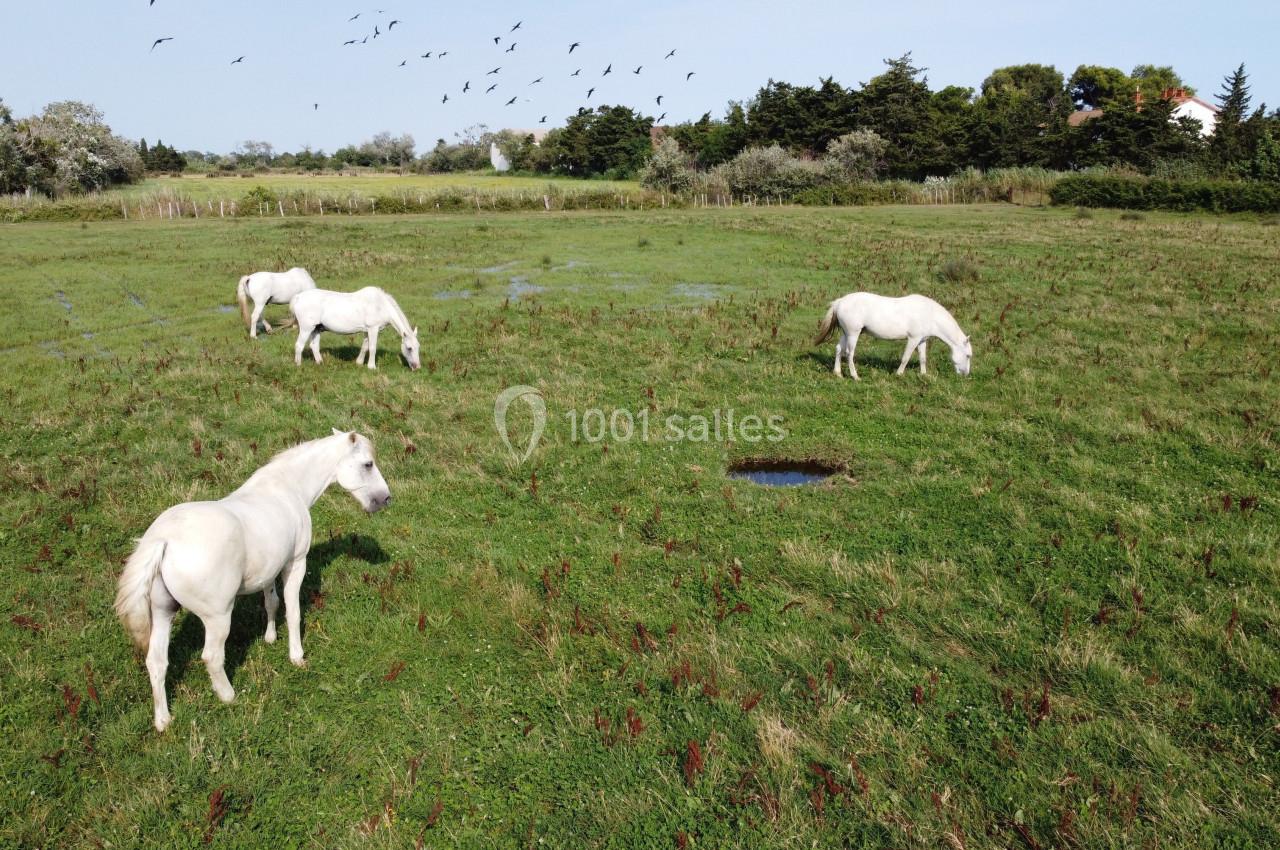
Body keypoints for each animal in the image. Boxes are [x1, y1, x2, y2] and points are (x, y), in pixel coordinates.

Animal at [114, 430, 391, 732]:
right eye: (368, 464)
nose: (385, 499)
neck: (287, 488)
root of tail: (163, 540)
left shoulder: (269, 570)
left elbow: (271, 603)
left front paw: (270, 638)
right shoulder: (295, 564)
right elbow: (293, 611)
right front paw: (296, 656)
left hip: (163, 612)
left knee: (156, 662)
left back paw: (163, 720)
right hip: (218, 617)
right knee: (211, 657)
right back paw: (228, 696)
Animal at [289, 286, 421, 370]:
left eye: (418, 347)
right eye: (409, 348)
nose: (417, 367)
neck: (380, 305)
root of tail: (298, 297)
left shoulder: (367, 331)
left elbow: (365, 347)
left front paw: (359, 363)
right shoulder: (373, 329)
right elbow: (372, 348)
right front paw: (372, 367)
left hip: (316, 329)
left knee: (314, 346)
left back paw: (320, 363)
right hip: (306, 328)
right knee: (299, 345)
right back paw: (298, 365)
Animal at [815, 292, 972, 380]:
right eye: (968, 355)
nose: (966, 374)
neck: (930, 314)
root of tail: (840, 302)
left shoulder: (922, 340)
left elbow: (922, 359)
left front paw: (924, 375)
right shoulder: (913, 339)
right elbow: (905, 358)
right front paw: (899, 374)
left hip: (846, 333)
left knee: (838, 349)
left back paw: (838, 373)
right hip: (853, 333)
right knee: (849, 353)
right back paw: (855, 376)